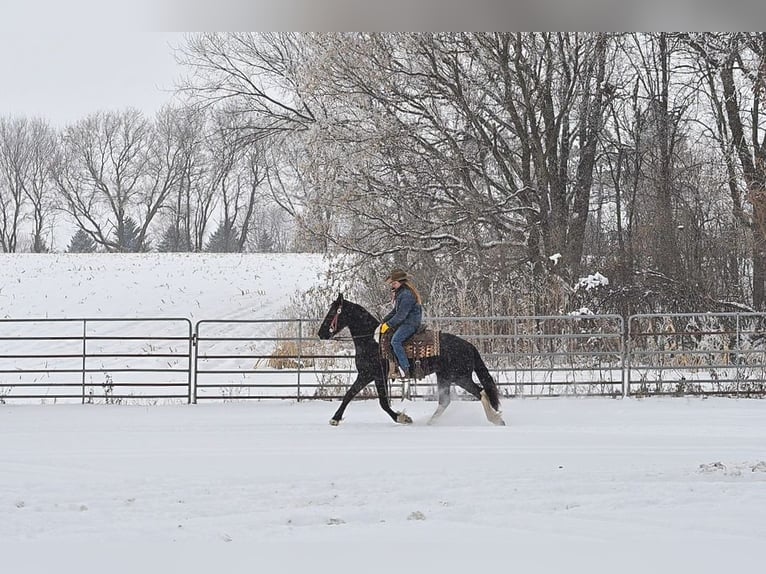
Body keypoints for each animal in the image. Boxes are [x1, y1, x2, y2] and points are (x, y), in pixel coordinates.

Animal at [317, 294, 505, 426]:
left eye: (333, 312)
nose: (321, 333)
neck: (371, 341)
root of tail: (469, 346)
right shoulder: (371, 376)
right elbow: (352, 395)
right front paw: (335, 418)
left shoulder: (372, 375)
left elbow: (377, 401)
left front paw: (402, 418)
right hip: (445, 376)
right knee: (446, 400)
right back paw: (431, 423)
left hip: (460, 377)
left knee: (480, 392)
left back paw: (496, 419)